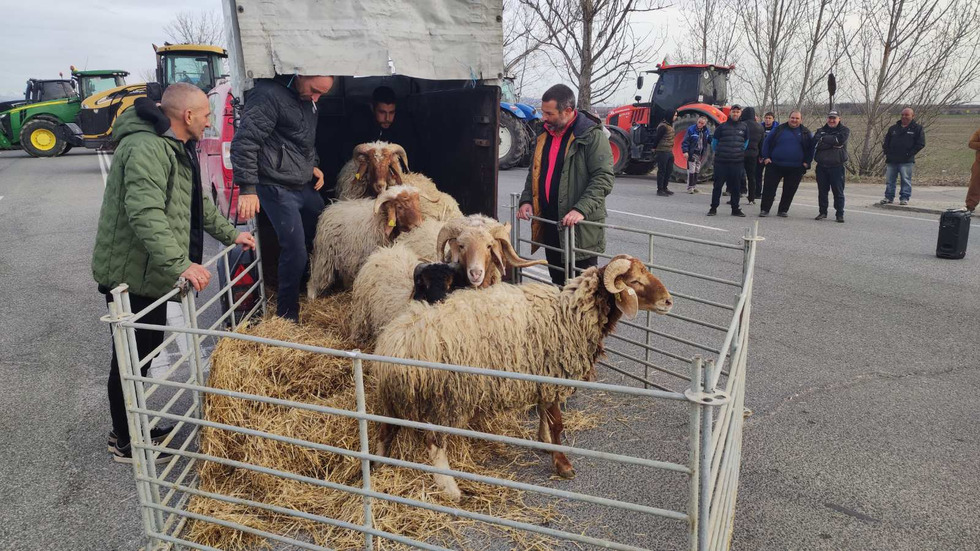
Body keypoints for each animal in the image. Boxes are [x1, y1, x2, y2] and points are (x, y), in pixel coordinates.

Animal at [370, 254, 672, 500]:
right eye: (634, 281)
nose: (668, 301)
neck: (570, 314)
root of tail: (397, 343)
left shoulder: (541, 376)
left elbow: (544, 415)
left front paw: (543, 442)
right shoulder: (553, 377)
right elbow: (558, 423)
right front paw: (563, 464)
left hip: (394, 396)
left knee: (385, 430)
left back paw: (377, 465)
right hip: (446, 398)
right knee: (434, 444)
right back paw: (451, 490)